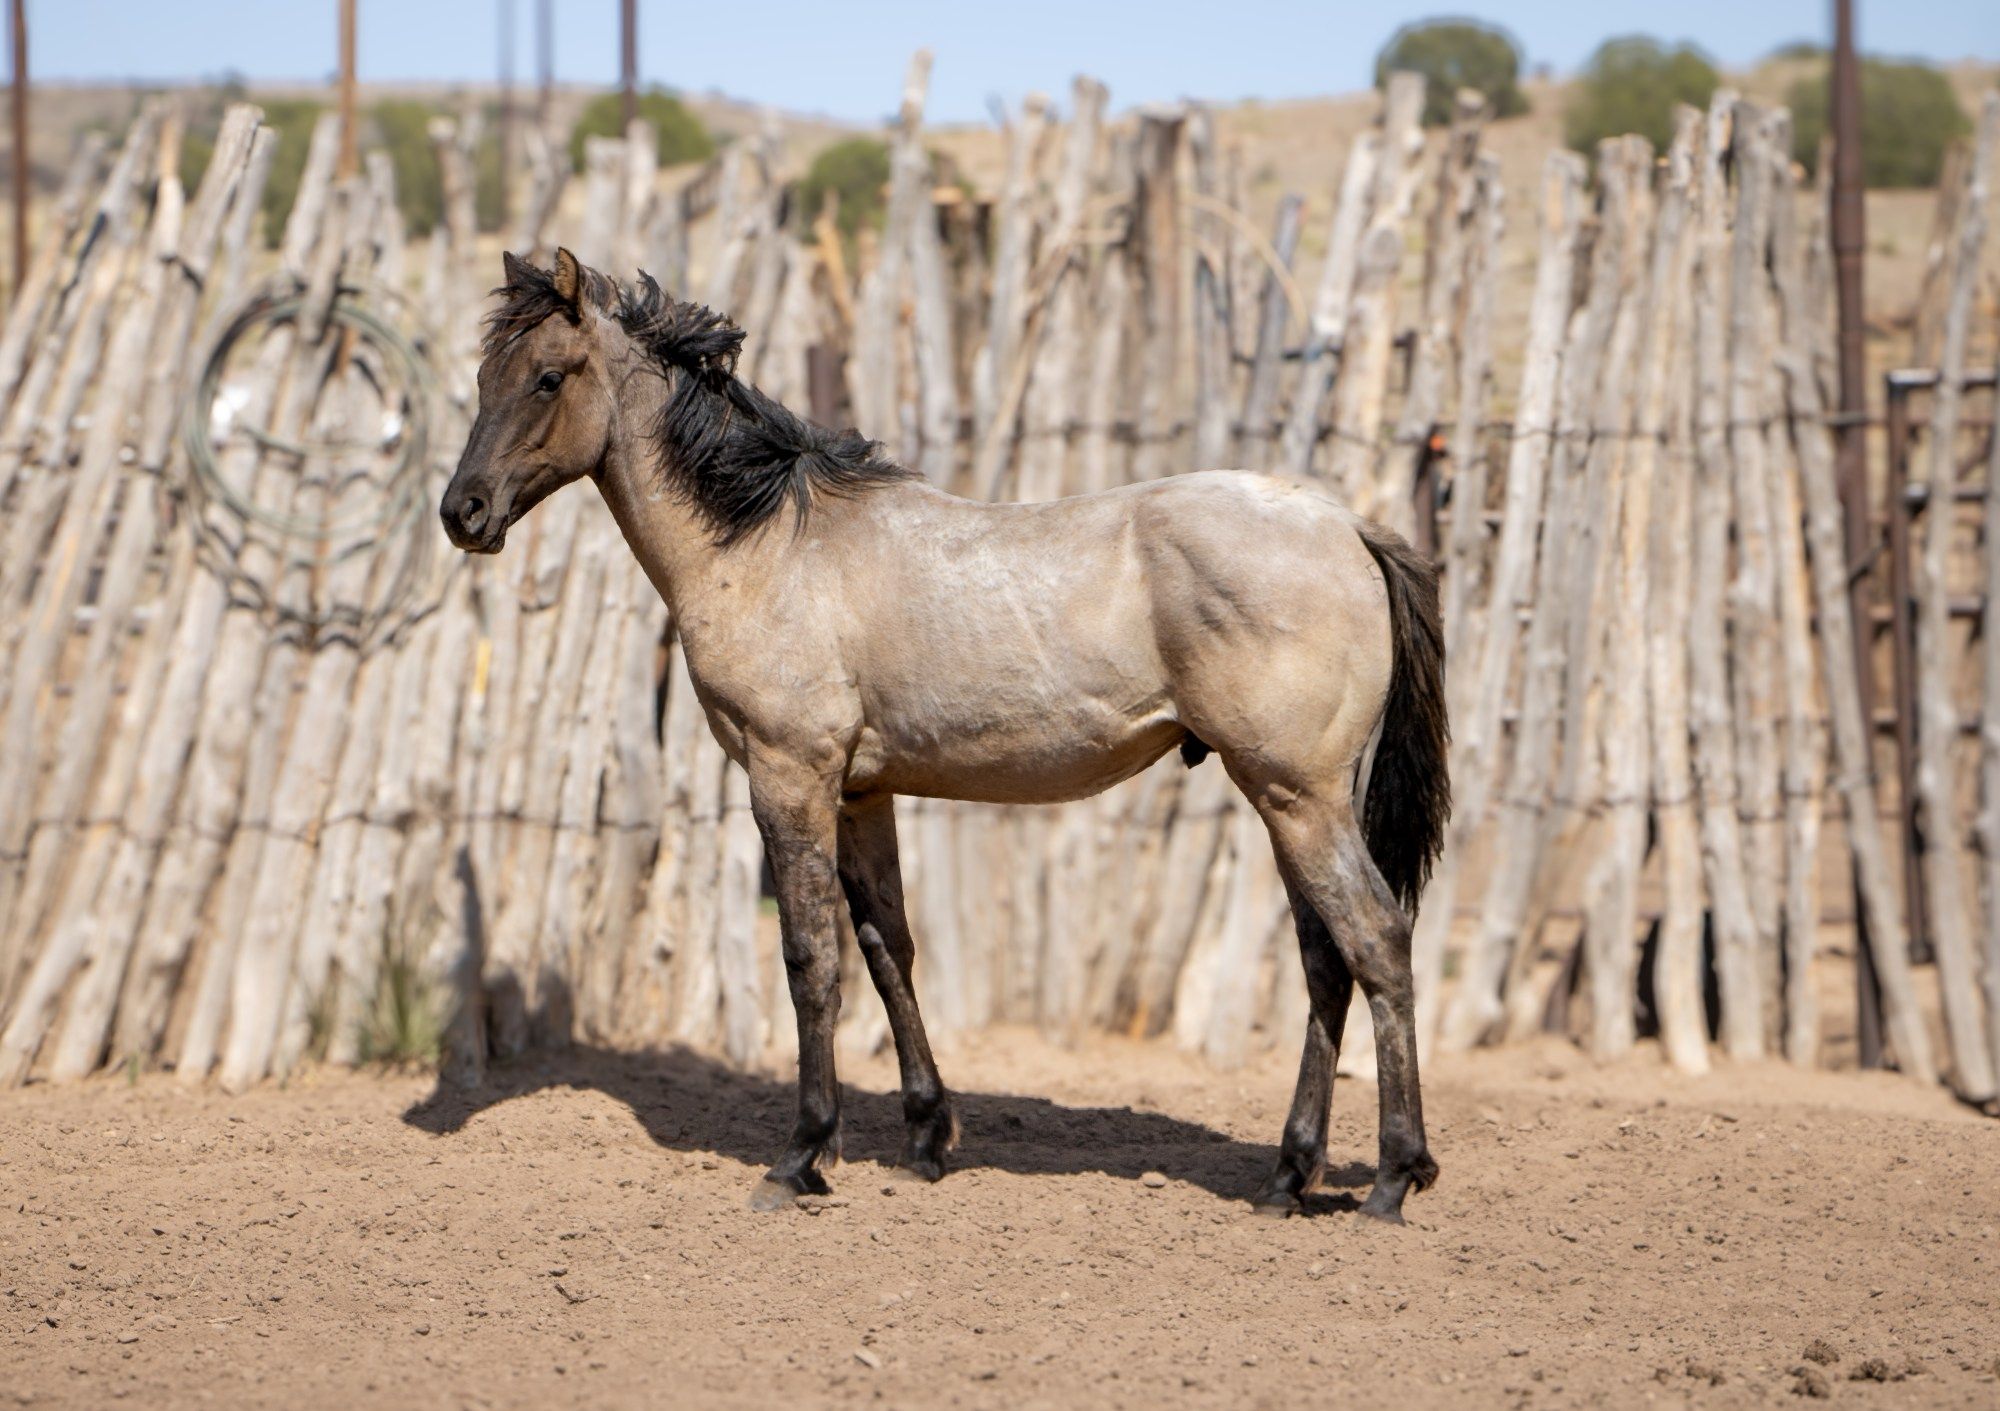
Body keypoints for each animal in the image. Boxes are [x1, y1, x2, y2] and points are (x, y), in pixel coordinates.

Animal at [441, 248, 1450, 1223]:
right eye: (483, 375)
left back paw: (1394, 1177)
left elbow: (810, 960)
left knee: (1376, 939)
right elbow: (888, 945)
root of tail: (1348, 527)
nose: (464, 513)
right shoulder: (861, 791)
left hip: (1295, 794)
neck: (772, 545)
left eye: (547, 377)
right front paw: (927, 1135)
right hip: (1293, 800)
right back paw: (1289, 1176)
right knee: (1325, 961)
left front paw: (801, 1156)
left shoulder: (788, 778)